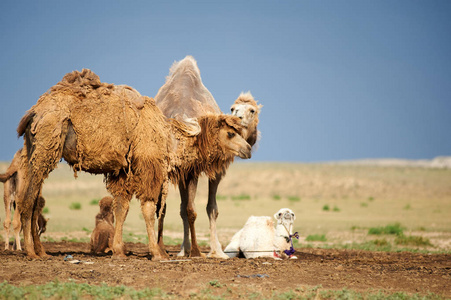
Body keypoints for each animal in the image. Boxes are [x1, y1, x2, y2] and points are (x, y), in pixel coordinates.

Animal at [15, 68, 251, 260]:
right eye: (231, 133)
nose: (247, 149)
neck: (169, 138)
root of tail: (34, 113)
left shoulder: (123, 172)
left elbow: (122, 207)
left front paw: (118, 251)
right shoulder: (148, 166)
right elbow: (148, 208)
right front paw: (157, 253)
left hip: (35, 149)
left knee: (34, 198)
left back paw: (41, 251)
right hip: (47, 144)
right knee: (29, 198)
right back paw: (31, 252)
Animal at [155, 55, 264, 258]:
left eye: (251, 110)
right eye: (233, 108)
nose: (237, 118)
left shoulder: (189, 171)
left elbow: (192, 208)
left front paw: (194, 250)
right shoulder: (204, 168)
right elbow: (202, 208)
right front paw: (210, 251)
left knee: (174, 207)